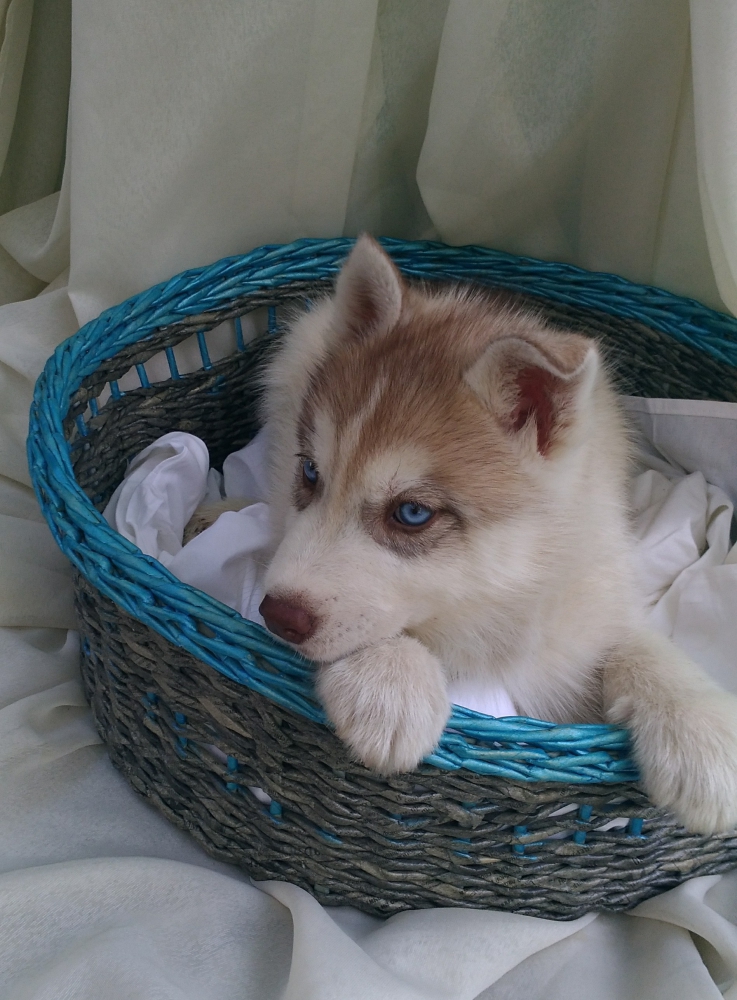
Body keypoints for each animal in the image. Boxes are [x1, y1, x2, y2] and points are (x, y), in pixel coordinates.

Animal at [191, 235, 737, 835]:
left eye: (411, 513)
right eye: (311, 473)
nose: (275, 615)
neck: (495, 602)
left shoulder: (582, 617)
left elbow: (635, 644)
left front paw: (702, 731)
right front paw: (388, 682)